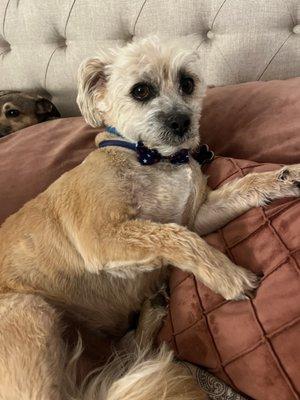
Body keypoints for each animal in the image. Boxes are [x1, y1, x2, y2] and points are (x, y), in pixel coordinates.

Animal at [0, 36, 300, 398]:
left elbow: (243, 189)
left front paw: (287, 176)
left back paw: (150, 313)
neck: (154, 159)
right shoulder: (99, 238)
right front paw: (227, 275)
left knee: (126, 357)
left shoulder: (195, 216)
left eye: (188, 83)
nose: (182, 122)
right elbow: (172, 235)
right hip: (29, 311)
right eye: (141, 90)